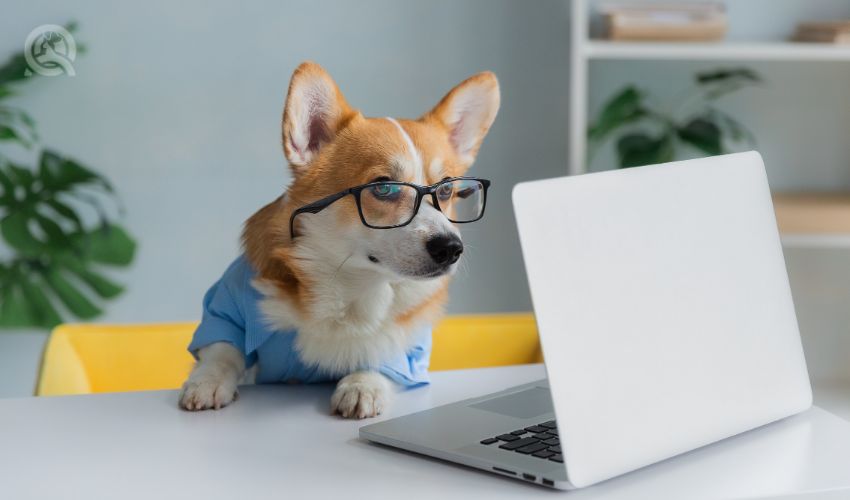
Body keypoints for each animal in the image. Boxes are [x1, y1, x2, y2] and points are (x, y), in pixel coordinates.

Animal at [179, 61, 496, 418]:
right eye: (384, 187)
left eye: (446, 190)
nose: (451, 248)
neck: (350, 283)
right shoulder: (224, 311)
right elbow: (223, 349)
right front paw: (207, 381)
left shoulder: (409, 346)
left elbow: (384, 353)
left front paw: (362, 385)